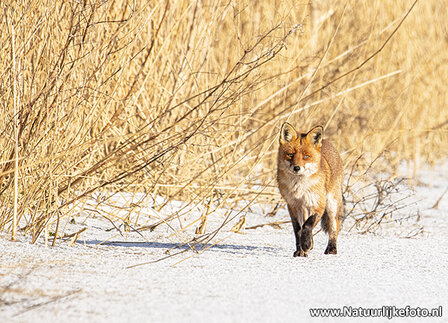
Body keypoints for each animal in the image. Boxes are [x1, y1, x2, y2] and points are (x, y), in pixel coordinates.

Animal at [276, 122, 344, 258]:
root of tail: (326, 141)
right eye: (290, 155)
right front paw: (300, 250)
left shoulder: (318, 205)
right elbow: (298, 229)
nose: (297, 168)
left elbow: (307, 225)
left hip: (331, 205)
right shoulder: (293, 205)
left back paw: (331, 249)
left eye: (306, 156)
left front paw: (306, 244)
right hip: (304, 208)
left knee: (335, 225)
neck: (299, 188)